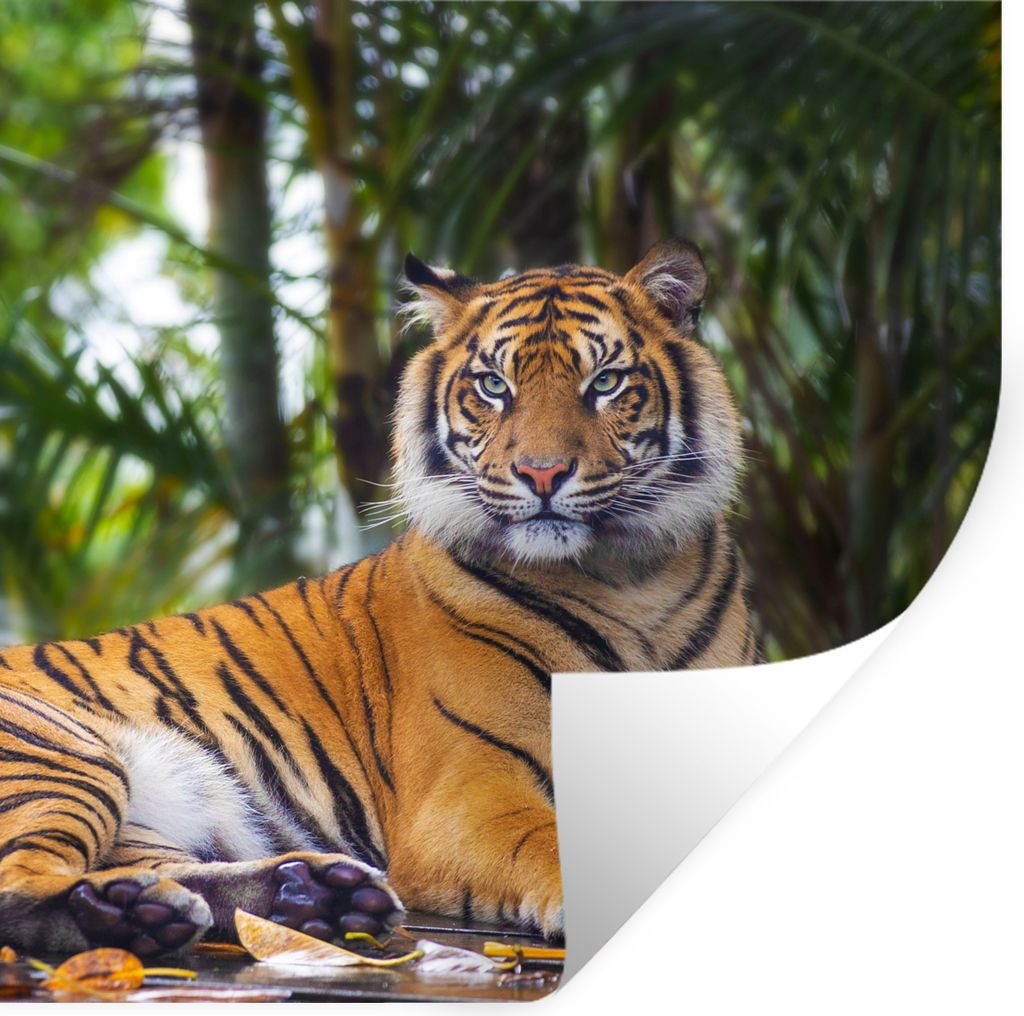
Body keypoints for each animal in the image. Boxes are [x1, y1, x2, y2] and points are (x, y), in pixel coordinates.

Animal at [0, 239, 759, 958]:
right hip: (62, 753)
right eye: (494, 385)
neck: (630, 580)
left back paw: (306, 894)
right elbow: (552, 843)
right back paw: (134, 912)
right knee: (20, 885)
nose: (541, 473)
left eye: (605, 382)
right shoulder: (469, 794)